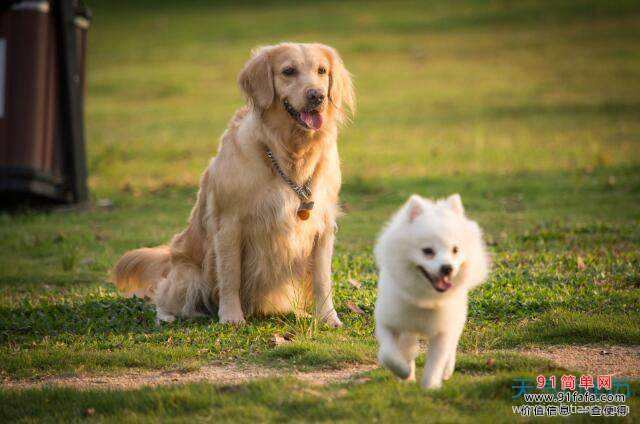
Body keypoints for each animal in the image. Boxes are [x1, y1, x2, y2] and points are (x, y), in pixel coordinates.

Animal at [372, 194, 488, 390]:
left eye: (455, 250)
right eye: (428, 251)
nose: (447, 268)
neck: (425, 298)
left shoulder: (443, 331)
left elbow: (436, 362)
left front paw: (430, 387)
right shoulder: (388, 322)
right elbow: (389, 354)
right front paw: (403, 371)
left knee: (452, 346)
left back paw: (447, 370)